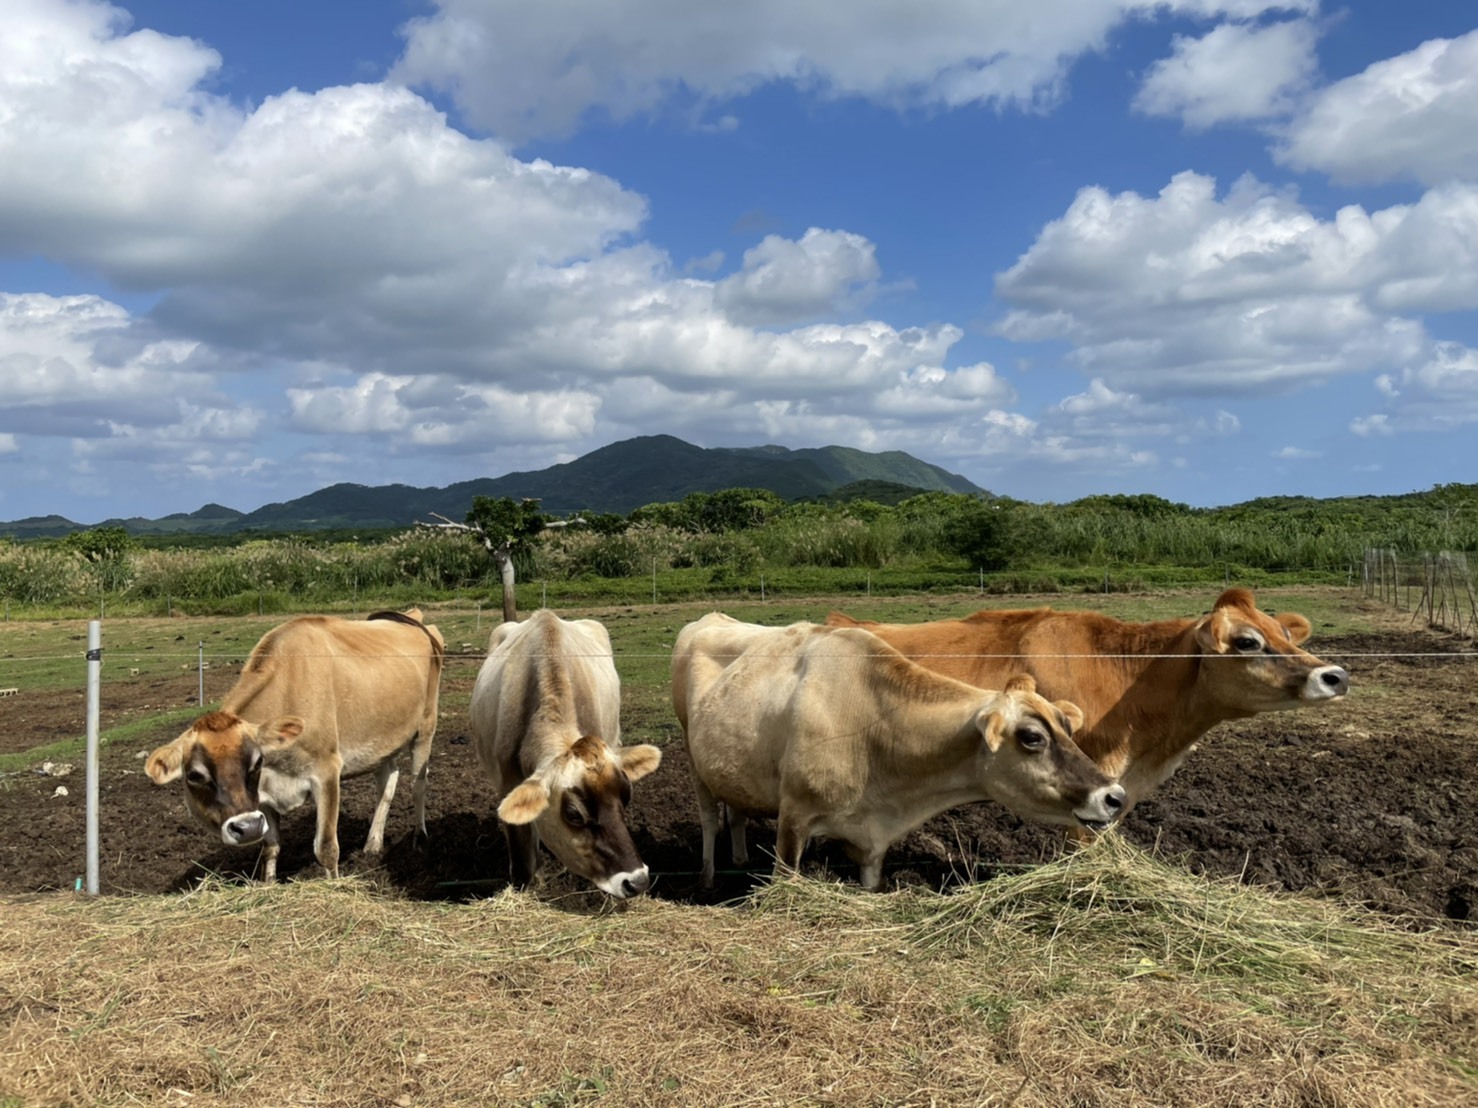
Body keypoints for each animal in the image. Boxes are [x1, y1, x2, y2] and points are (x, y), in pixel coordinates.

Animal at [146, 608, 445, 882]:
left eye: (255, 762)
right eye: (195, 775)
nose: (246, 827)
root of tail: (411, 616)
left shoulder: (326, 771)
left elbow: (326, 848)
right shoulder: (262, 798)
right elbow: (270, 848)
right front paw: (268, 886)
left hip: (426, 725)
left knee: (418, 784)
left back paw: (420, 840)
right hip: (381, 742)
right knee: (388, 780)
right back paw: (372, 843)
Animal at [673, 614, 1125, 890]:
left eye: (1067, 727)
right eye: (1032, 737)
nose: (1114, 796)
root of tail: (712, 618)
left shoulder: (874, 844)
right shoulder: (794, 819)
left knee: (735, 813)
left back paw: (739, 859)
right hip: (693, 758)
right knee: (709, 819)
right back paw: (707, 878)